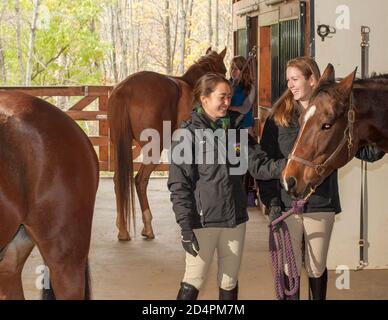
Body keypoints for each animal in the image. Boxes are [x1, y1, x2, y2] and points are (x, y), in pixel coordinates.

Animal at [107, 47, 227, 240]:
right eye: (224, 70)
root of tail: (124, 89)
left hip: (120, 146)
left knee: (119, 181)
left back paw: (123, 229)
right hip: (153, 149)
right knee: (140, 180)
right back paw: (148, 227)